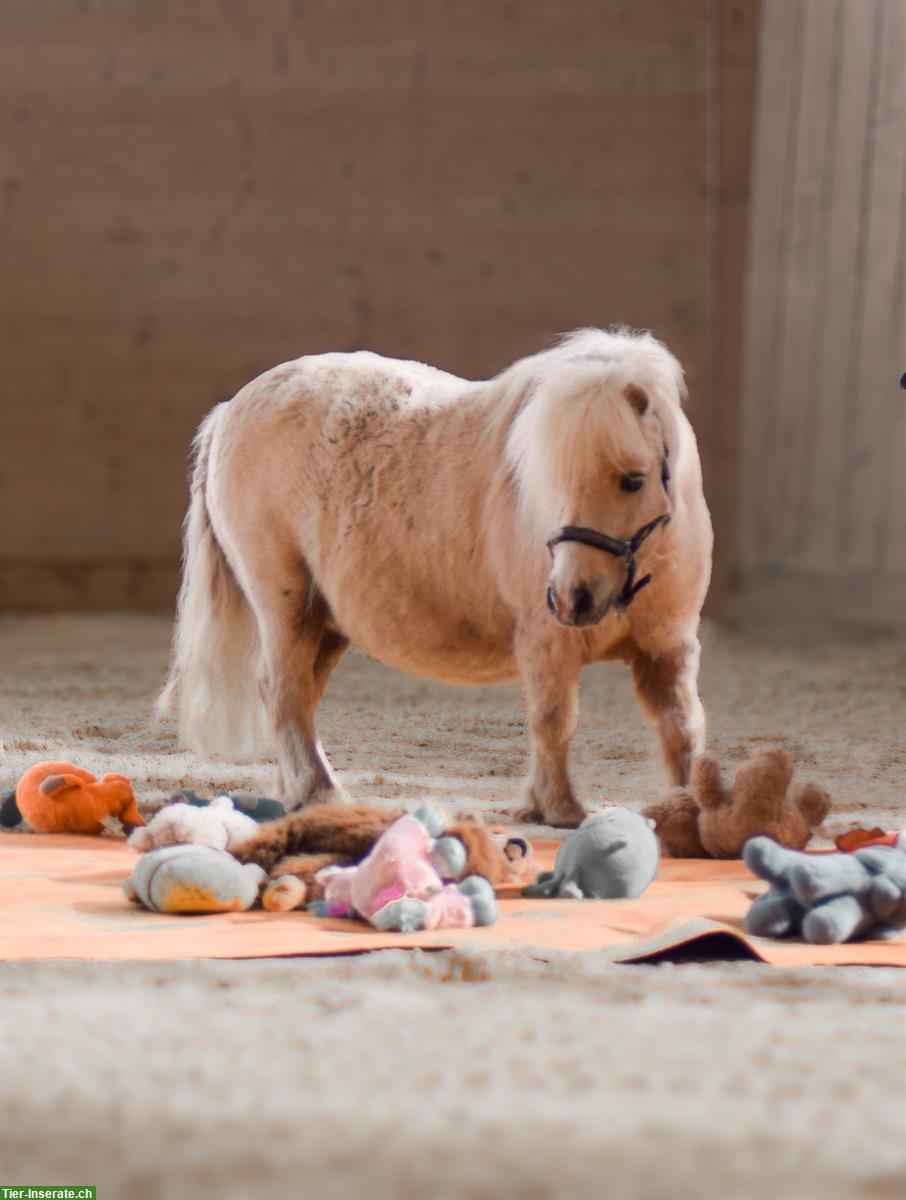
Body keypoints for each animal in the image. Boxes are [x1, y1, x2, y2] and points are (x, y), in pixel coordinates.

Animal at [163, 328, 715, 825]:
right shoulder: (546, 644)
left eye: (633, 480)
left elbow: (682, 728)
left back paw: (299, 790)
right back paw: (319, 793)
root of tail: (231, 409)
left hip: (324, 620)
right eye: (549, 481)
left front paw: (691, 809)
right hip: (285, 606)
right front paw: (557, 809)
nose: (570, 598)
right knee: (283, 691)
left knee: (299, 698)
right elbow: (554, 721)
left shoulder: (669, 648)